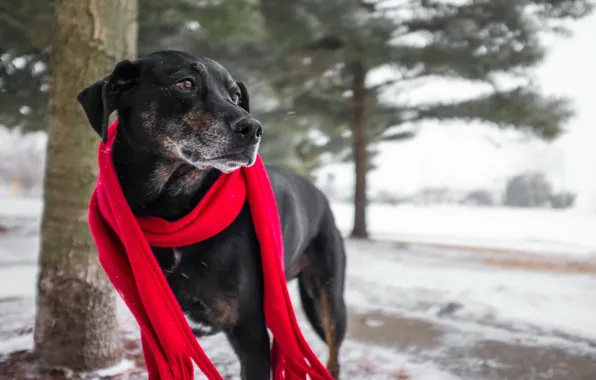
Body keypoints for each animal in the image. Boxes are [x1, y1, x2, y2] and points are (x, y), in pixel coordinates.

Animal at [79, 51, 350, 380]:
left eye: (235, 96)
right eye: (185, 83)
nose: (254, 129)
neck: (172, 211)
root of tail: (318, 192)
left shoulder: (250, 333)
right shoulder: (159, 333)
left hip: (326, 300)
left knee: (334, 354)